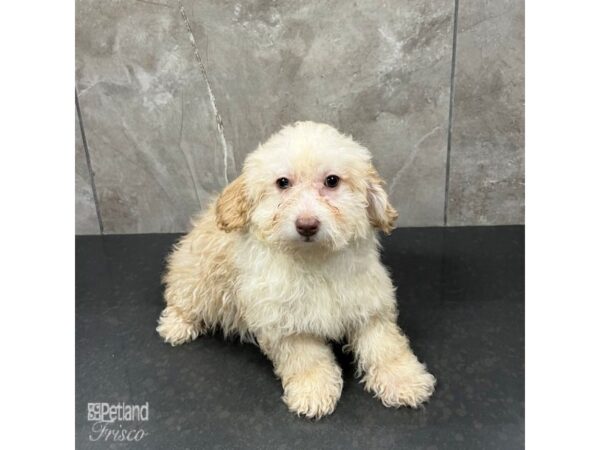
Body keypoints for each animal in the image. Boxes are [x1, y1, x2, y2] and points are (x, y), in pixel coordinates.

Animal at [157, 120, 434, 418]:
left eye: (332, 181)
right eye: (283, 183)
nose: (307, 225)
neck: (315, 260)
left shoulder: (368, 304)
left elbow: (386, 345)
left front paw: (403, 380)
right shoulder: (284, 321)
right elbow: (307, 358)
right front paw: (314, 391)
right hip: (197, 278)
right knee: (182, 299)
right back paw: (176, 325)